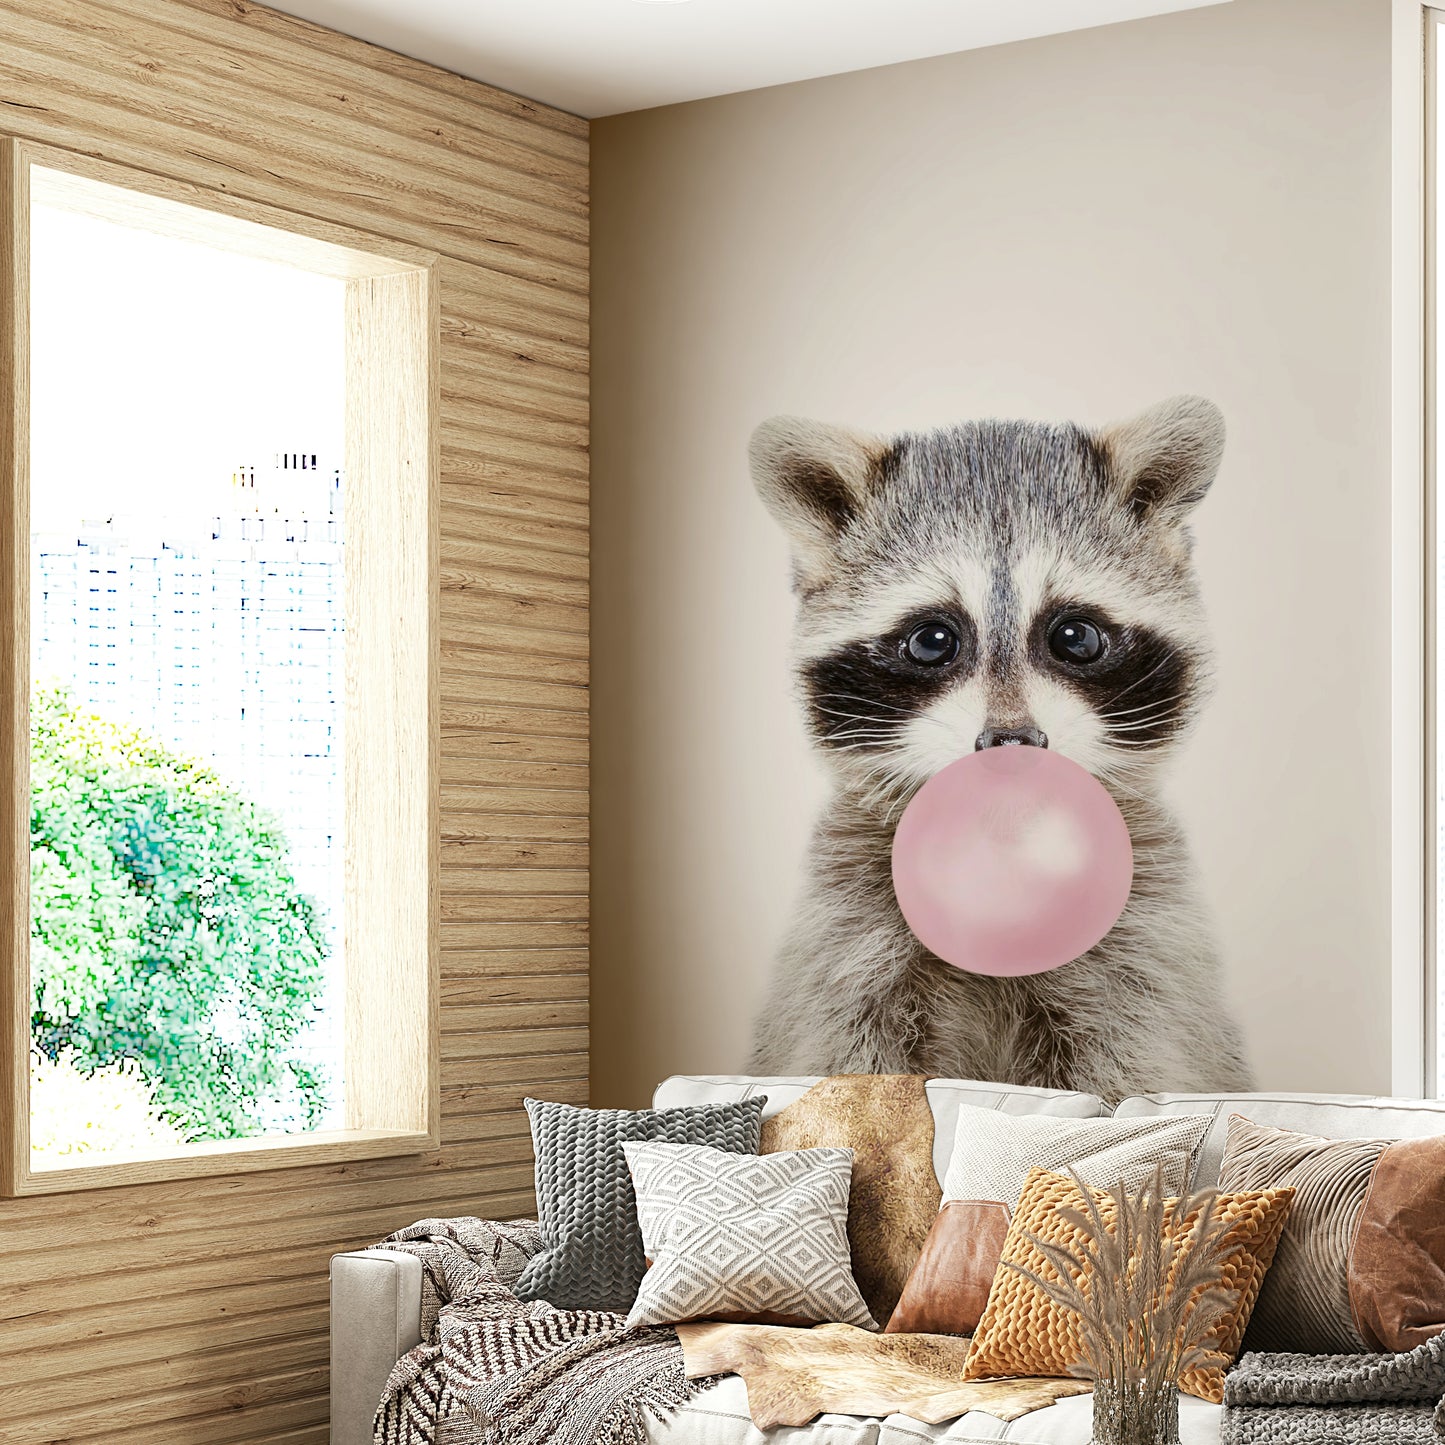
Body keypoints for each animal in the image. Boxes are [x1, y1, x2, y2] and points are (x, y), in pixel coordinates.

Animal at [746, 396, 1254, 1101]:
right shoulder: (850, 941)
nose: (1011, 743)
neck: (1003, 845)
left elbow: (1133, 1062)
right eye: (932, 640)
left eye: (1075, 636)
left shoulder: (1141, 946)